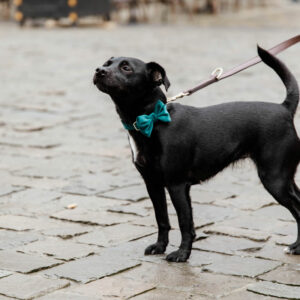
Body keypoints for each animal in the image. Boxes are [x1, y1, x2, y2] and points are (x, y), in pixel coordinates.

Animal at [92, 47, 298, 262]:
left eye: (126, 67)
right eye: (107, 63)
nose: (99, 70)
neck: (152, 121)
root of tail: (284, 108)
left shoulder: (177, 185)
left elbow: (185, 223)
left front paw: (182, 254)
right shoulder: (153, 184)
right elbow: (162, 219)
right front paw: (160, 246)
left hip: (274, 180)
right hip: (285, 179)